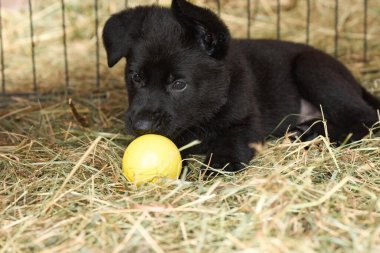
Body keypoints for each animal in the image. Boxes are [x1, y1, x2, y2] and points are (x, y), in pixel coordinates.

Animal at [102, 0, 378, 171]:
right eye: (136, 77)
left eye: (179, 84)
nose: (141, 126)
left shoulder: (248, 123)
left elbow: (231, 143)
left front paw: (219, 165)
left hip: (311, 67)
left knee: (365, 117)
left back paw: (317, 134)